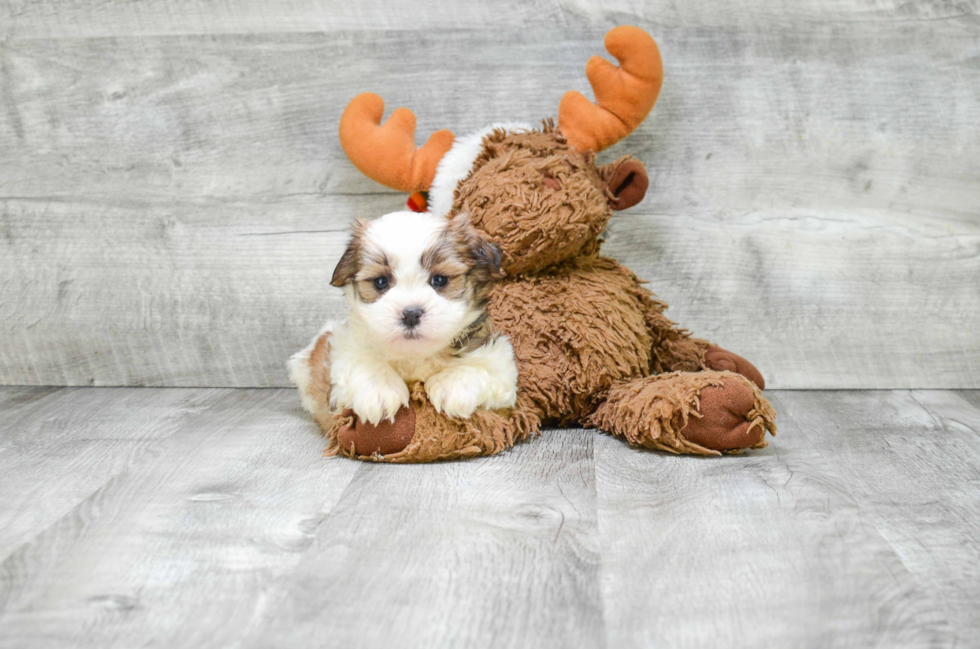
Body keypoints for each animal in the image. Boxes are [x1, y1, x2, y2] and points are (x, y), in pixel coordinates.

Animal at [290, 210, 520, 428]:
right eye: (381, 282)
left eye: (440, 280)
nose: (410, 314)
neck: (414, 356)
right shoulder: (344, 345)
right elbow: (360, 359)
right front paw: (380, 388)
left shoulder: (499, 362)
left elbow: (483, 368)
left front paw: (451, 385)